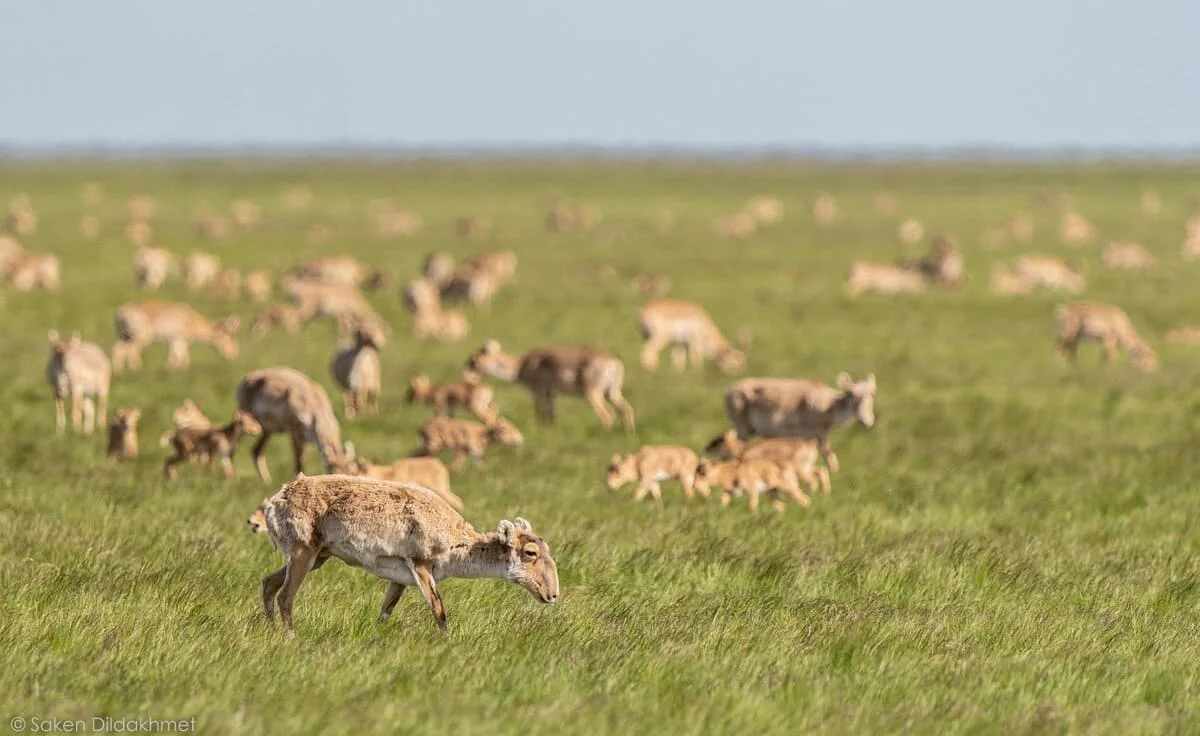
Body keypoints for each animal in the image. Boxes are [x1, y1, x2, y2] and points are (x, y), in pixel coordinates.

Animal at [112, 300, 241, 372]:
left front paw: (173, 368)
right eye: (228, 338)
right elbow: (178, 356)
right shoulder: (179, 338)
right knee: (131, 350)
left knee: (119, 349)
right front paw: (171, 368)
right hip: (141, 337)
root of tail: (121, 312)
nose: (234, 355)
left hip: (124, 336)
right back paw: (137, 369)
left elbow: (180, 356)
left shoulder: (177, 340)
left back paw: (118, 371)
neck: (193, 319)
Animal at [258, 473, 556, 633]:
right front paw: (449, 645)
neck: (455, 538)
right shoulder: (421, 565)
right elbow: (439, 611)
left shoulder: (399, 579)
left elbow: (384, 612)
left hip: (318, 557)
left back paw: (272, 632)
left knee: (268, 583)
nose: (552, 595)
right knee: (285, 596)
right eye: (530, 552)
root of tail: (276, 498)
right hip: (303, 553)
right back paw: (290, 638)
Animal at [465, 338, 638, 429]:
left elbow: (540, 411)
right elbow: (551, 413)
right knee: (626, 410)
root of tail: (615, 363)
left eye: (473, 360)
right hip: (612, 393)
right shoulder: (551, 394)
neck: (522, 364)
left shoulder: (538, 392)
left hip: (593, 395)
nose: (467, 377)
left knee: (607, 415)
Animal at [720, 369, 883, 473]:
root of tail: (728, 391)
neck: (828, 405)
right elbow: (829, 459)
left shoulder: (816, 437)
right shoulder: (815, 435)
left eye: (873, 393)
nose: (865, 421)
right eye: (851, 393)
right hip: (742, 429)